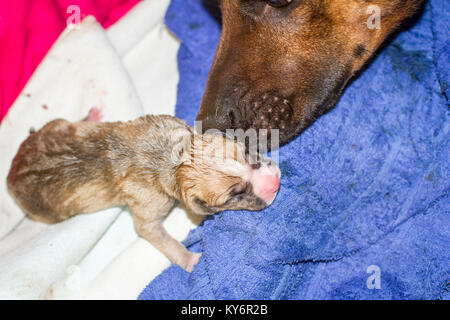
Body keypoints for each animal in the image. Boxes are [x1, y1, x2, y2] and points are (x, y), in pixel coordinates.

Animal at [7, 114, 280, 272]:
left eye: (246, 153)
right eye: (235, 194)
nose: (275, 182)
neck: (173, 161)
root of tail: (12, 174)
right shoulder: (149, 201)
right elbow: (149, 230)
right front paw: (188, 258)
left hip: (55, 125)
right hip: (48, 213)